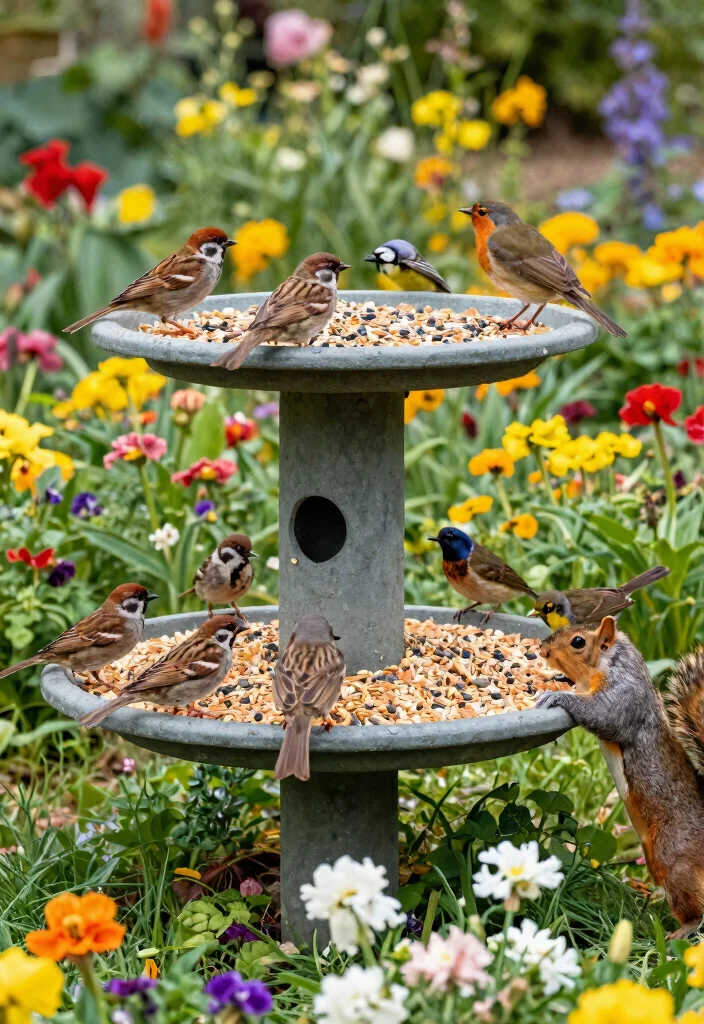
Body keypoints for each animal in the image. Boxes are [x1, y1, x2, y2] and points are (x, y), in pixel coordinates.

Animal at [536, 615, 704, 939]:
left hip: (674, 857)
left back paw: (683, 929)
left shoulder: (625, 698)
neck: (609, 663)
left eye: (578, 642)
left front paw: (557, 694)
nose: (543, 649)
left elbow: (603, 716)